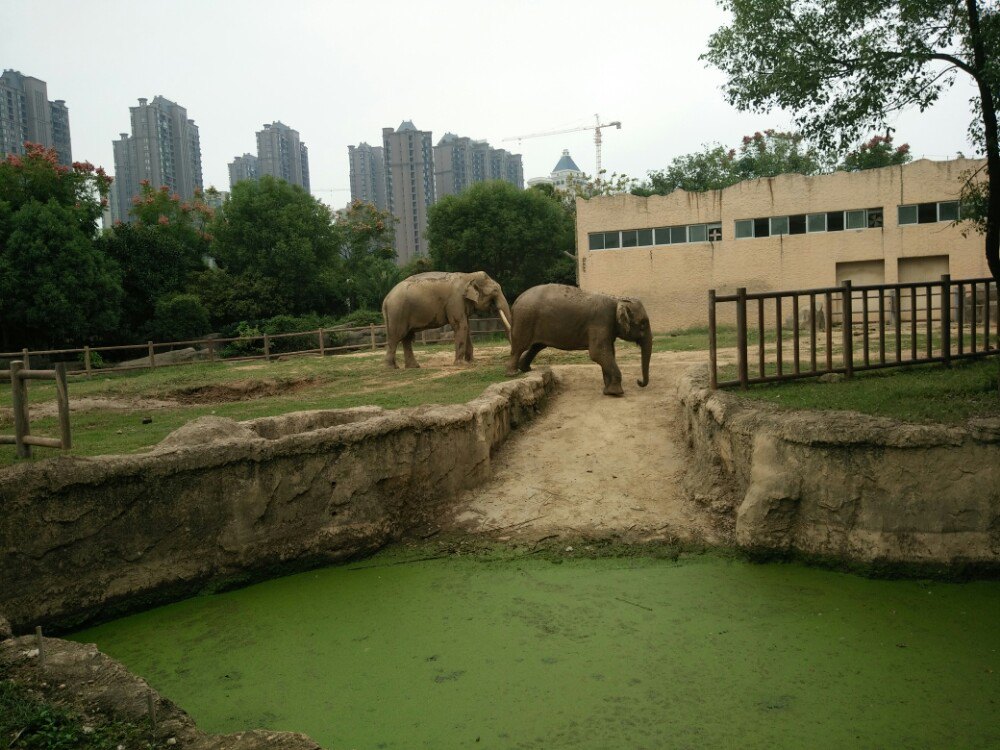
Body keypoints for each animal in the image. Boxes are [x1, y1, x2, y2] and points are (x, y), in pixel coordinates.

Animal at [380, 274, 512, 374]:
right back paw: (391, 368)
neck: (468, 276)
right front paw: (461, 364)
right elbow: (460, 325)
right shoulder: (456, 301)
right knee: (396, 336)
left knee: (407, 337)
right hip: (397, 312)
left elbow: (467, 327)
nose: (509, 354)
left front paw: (471, 362)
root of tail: (385, 300)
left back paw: (413, 367)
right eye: (495, 291)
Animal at [504, 284, 652, 400]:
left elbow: (608, 353)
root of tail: (516, 300)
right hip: (525, 319)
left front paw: (608, 391)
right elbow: (598, 353)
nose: (639, 381)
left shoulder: (607, 327)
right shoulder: (601, 322)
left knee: (536, 346)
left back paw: (526, 369)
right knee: (519, 347)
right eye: (643, 324)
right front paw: (616, 393)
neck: (617, 299)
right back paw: (513, 373)